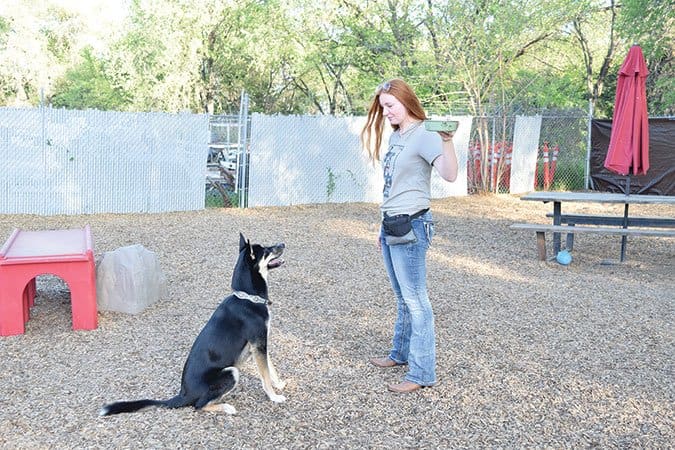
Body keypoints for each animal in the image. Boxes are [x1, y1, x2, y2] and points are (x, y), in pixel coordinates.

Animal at [101, 234, 288, 416]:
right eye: (266, 250)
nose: (283, 243)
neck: (248, 297)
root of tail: (183, 395)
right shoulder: (259, 344)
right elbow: (265, 375)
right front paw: (274, 397)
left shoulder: (261, 344)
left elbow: (271, 368)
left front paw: (279, 384)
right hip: (231, 372)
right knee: (199, 405)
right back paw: (226, 408)